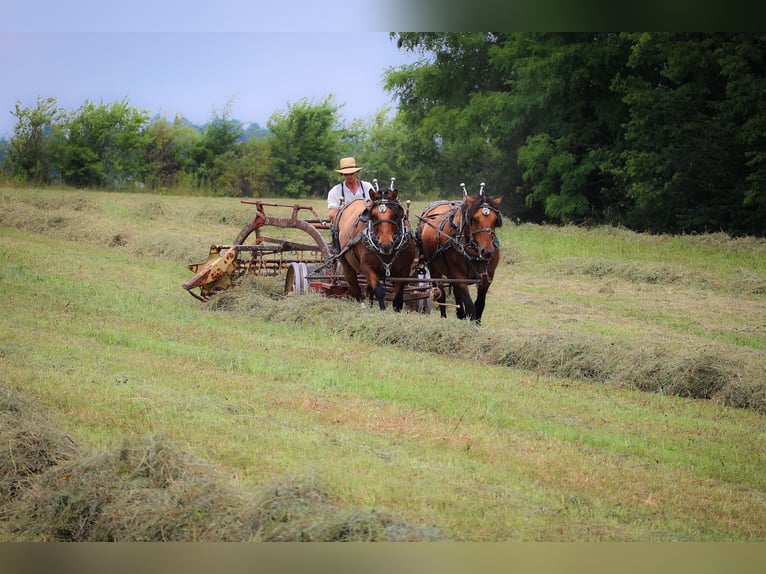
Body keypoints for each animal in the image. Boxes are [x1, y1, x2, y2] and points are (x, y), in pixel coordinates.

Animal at [332, 183, 417, 311]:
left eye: (395, 215)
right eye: (373, 216)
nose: (386, 245)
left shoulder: (404, 270)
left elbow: (398, 297)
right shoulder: (367, 267)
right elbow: (379, 290)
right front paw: (382, 309)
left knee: (368, 291)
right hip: (345, 262)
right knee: (355, 288)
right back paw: (362, 305)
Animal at [416, 183, 502, 323]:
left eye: (495, 220)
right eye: (474, 219)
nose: (487, 251)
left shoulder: (487, 277)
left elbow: (479, 305)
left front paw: (476, 323)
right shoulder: (460, 277)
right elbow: (471, 307)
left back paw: (460, 315)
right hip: (434, 269)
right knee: (441, 294)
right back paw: (444, 317)